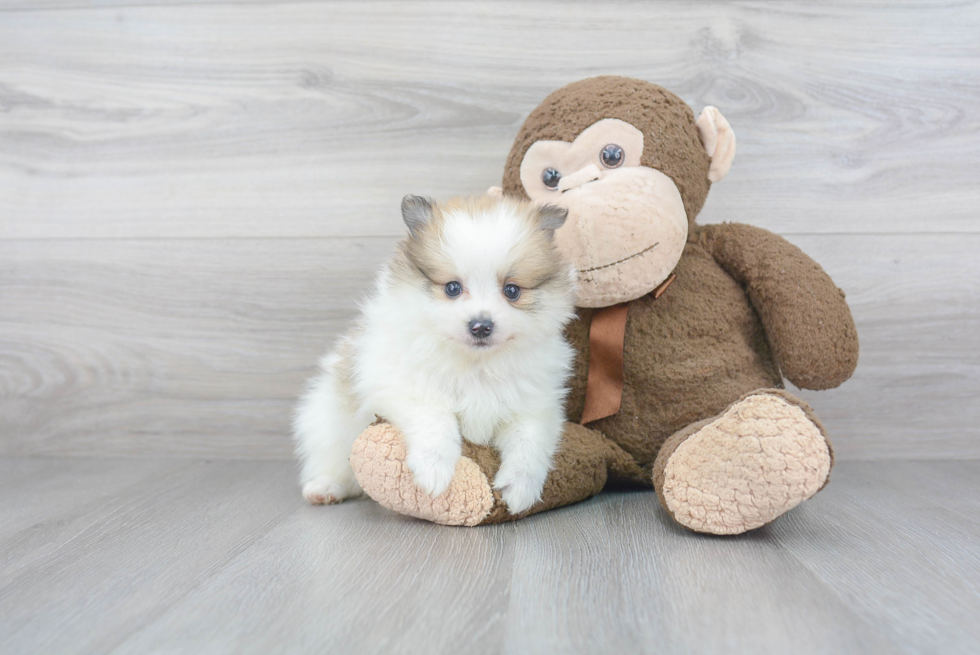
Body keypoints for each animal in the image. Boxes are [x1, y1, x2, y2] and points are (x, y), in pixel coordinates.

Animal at [294, 195, 580, 516]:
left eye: (512, 291)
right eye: (453, 288)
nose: (481, 325)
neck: (476, 365)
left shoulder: (534, 406)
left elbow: (528, 442)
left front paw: (520, 488)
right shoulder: (405, 386)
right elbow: (435, 420)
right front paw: (434, 470)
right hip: (326, 421)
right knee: (334, 464)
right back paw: (325, 488)